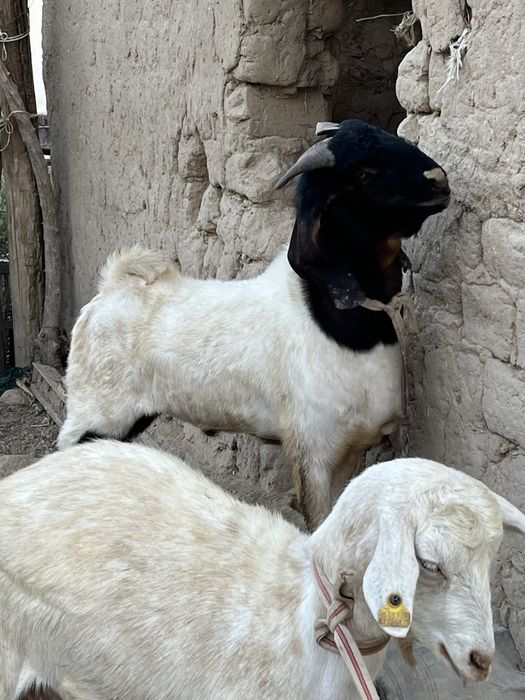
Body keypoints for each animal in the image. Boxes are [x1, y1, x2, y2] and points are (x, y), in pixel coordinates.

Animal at [57, 119, 451, 528]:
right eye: (365, 174)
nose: (439, 179)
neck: (340, 326)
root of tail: (113, 285)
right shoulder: (313, 452)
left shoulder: (351, 447)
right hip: (94, 413)